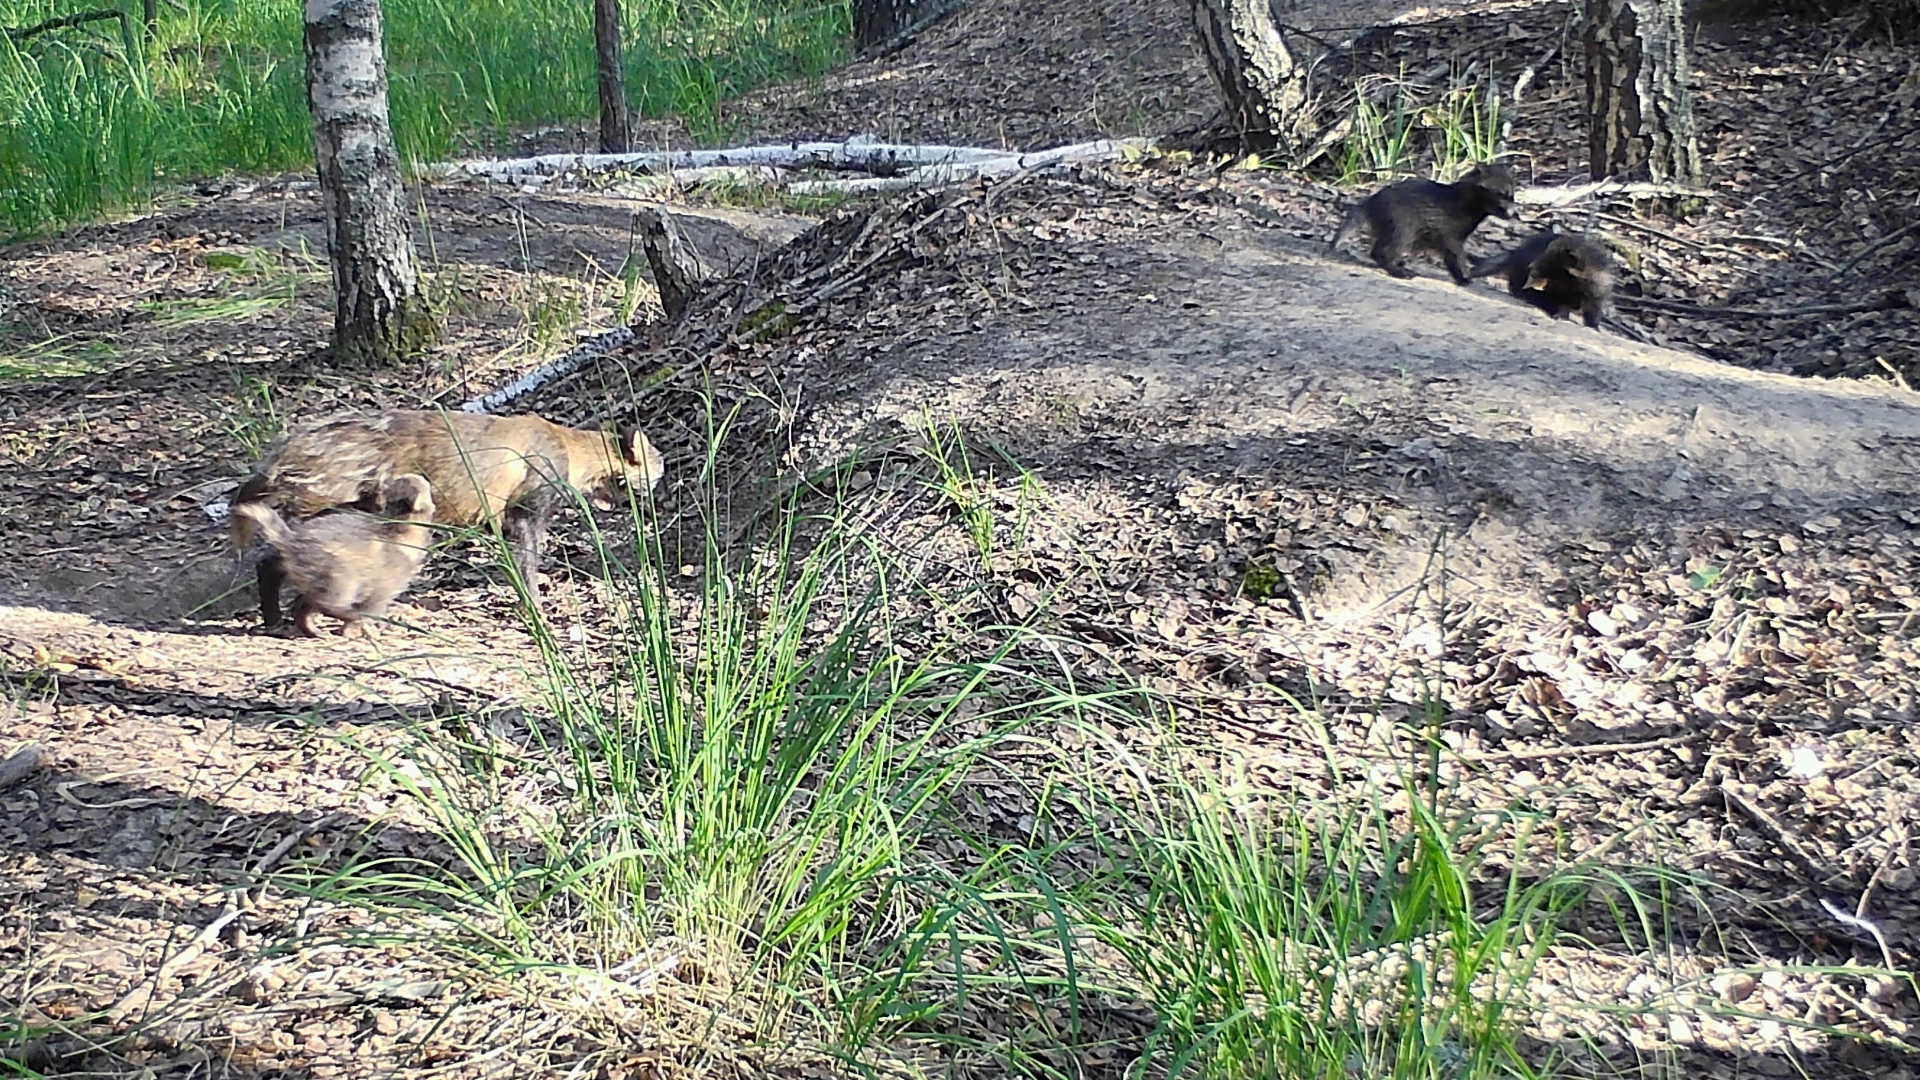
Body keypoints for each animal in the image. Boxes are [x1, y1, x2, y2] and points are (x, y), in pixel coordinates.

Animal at [228, 411, 668, 630]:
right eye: (655, 467)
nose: (655, 502)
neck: (572, 449)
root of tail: (282, 453)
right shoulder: (527, 511)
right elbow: (528, 569)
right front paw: (538, 613)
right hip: (324, 510)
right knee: (273, 561)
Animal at [1336, 161, 1512, 282]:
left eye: (1512, 195)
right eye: (1500, 193)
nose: (1511, 213)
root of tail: (1372, 199)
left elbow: (1452, 256)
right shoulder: (1451, 234)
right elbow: (1457, 255)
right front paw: (1464, 276)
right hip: (1403, 224)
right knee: (1383, 251)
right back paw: (1398, 271)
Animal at [1466, 228, 1620, 326]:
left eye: (1549, 261)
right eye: (1545, 255)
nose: (1531, 266)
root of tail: (1516, 253)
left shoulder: (1597, 296)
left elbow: (1593, 314)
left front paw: (1593, 326)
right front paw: (1559, 314)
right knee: (1516, 287)